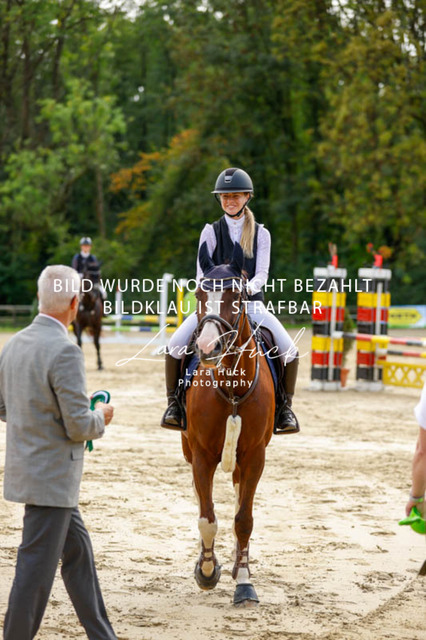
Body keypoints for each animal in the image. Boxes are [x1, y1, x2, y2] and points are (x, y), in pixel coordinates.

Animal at [181, 241, 275, 607]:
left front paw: (244, 582)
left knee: (237, 499)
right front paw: (207, 571)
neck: (232, 389)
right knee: (200, 500)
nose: (207, 348)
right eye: (198, 293)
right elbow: (206, 517)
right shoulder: (202, 456)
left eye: (236, 295)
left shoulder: (255, 456)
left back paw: (238, 563)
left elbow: (243, 519)